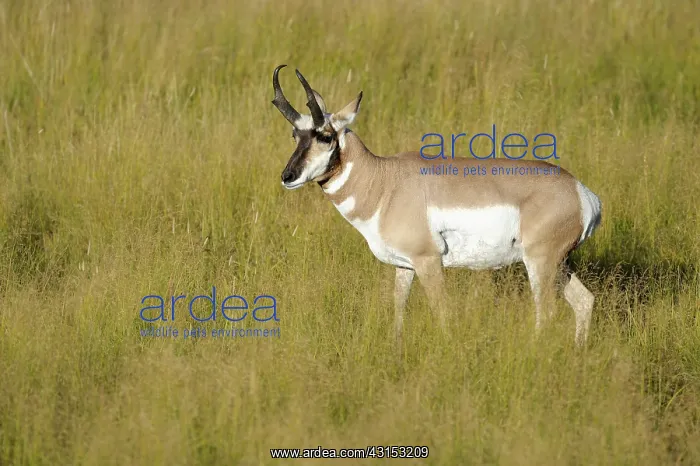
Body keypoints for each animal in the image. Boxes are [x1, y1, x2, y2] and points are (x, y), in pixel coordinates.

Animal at [270, 65, 602, 344]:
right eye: (295, 134)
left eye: (325, 136)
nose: (288, 176)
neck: (385, 182)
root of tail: (582, 193)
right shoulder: (405, 266)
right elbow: (399, 310)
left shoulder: (428, 262)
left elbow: (442, 313)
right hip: (559, 264)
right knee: (584, 301)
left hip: (540, 263)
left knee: (546, 313)